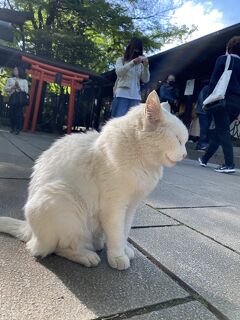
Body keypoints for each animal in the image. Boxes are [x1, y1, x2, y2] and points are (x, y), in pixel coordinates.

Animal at [0, 90, 188, 270]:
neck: (143, 160)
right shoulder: (114, 207)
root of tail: (29, 229)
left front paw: (124, 249)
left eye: (185, 141)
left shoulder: (130, 207)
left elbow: (124, 231)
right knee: (53, 248)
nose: (186, 154)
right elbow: (116, 234)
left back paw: (97, 245)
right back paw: (87, 256)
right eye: (178, 140)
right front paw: (118, 256)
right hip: (62, 198)